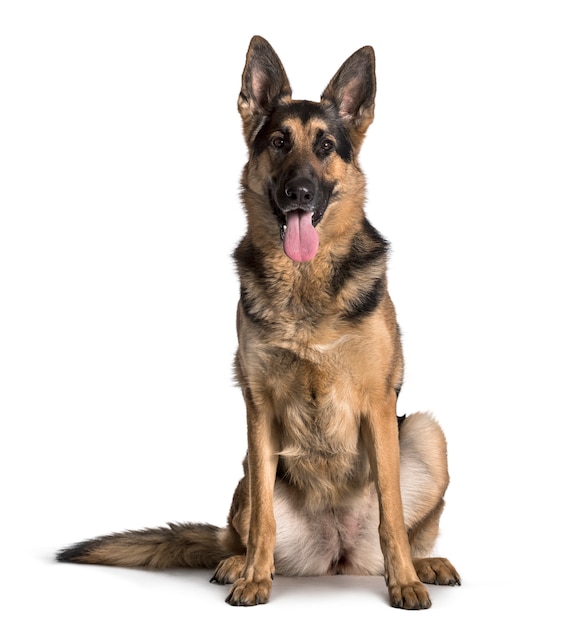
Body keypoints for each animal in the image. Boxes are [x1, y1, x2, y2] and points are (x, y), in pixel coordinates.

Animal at [57, 35, 460, 608]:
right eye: (277, 142)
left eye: (326, 146)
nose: (300, 193)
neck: (305, 282)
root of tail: (337, 558)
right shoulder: (258, 407)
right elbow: (265, 519)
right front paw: (253, 579)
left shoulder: (380, 405)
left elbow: (391, 513)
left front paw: (404, 580)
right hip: (249, 468)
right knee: (243, 531)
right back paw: (237, 563)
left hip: (424, 432)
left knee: (403, 528)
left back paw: (424, 564)